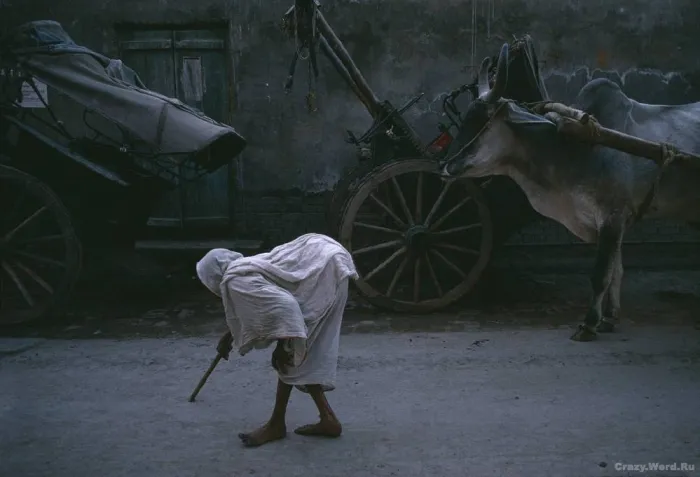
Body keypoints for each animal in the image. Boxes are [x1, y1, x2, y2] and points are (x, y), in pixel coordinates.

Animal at [441, 42, 700, 342]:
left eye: (482, 121)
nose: (443, 165)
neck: (573, 148)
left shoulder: (612, 216)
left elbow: (601, 275)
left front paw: (588, 324)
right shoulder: (612, 223)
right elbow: (616, 271)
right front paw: (609, 319)